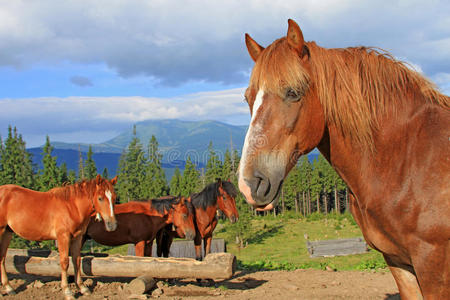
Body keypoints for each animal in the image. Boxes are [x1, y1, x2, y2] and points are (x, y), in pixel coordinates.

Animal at [237, 19, 448, 298]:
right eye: (248, 97)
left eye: (292, 92)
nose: (249, 185)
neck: (406, 158)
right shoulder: (399, 263)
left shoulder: (433, 266)